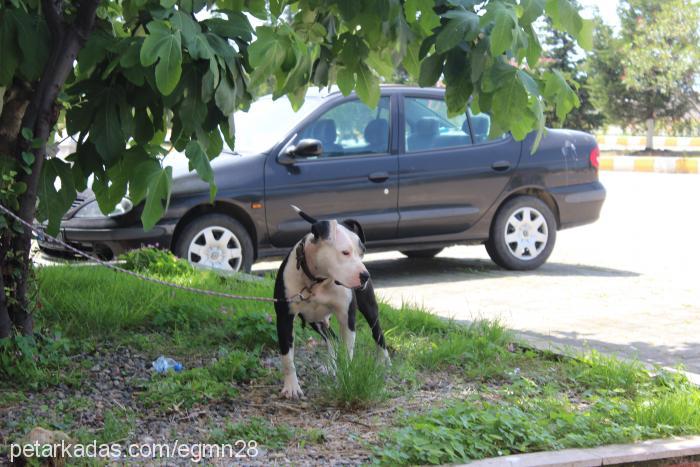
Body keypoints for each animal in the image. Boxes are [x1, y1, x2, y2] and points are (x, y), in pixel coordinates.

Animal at [274, 207, 392, 400]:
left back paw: (383, 360)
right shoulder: (284, 318)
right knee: (331, 339)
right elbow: (287, 358)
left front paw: (346, 377)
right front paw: (291, 387)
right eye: (345, 252)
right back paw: (330, 365)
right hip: (315, 320)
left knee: (377, 333)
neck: (317, 280)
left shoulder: (347, 318)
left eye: (362, 252)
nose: (365, 276)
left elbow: (348, 353)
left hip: (370, 309)